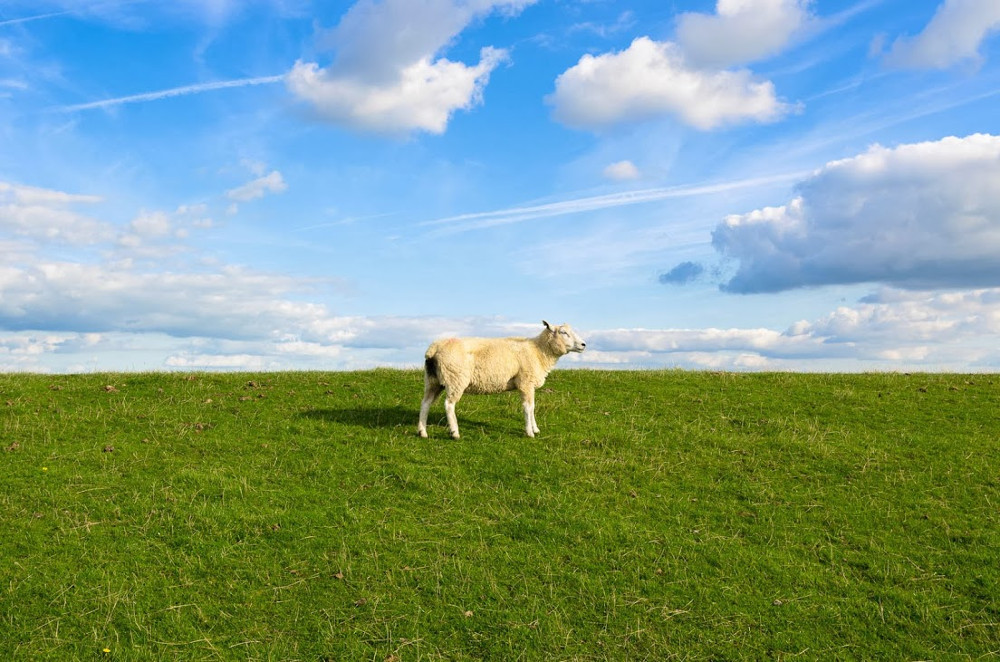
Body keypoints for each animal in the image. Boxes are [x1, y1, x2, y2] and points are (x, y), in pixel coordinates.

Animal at [417, 321, 586, 439]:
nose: (584, 344)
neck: (538, 352)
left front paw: (536, 429)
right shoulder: (525, 382)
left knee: (425, 403)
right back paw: (454, 433)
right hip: (455, 378)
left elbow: (532, 407)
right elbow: (528, 408)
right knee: (449, 404)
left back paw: (422, 432)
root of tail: (433, 349)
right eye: (563, 332)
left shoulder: (529, 384)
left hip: (433, 381)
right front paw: (530, 432)